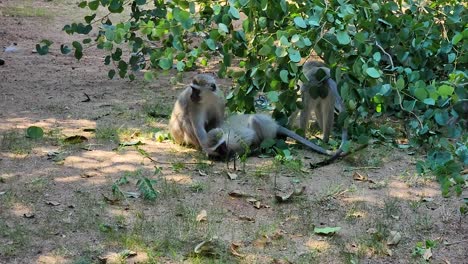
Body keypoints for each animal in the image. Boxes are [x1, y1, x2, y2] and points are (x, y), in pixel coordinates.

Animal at [203, 113, 338, 159]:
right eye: (219, 149)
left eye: (222, 146)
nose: (225, 151)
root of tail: (275, 124)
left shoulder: (234, 139)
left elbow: (248, 137)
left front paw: (237, 155)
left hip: (266, 129)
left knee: (254, 120)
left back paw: (258, 149)